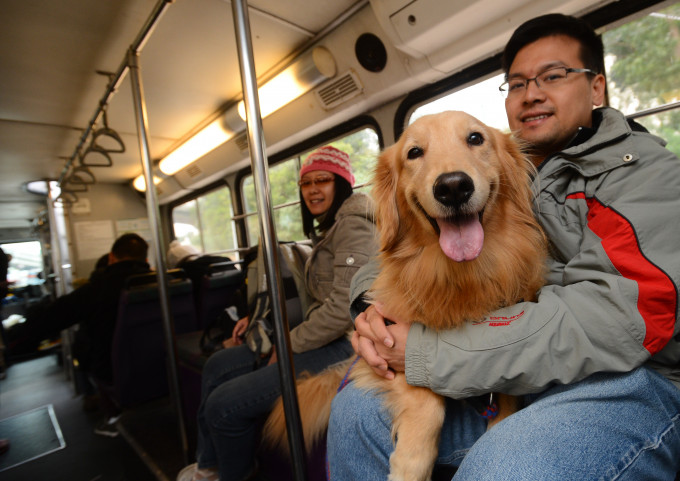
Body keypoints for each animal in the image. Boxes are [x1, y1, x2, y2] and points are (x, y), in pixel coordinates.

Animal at [262, 111, 544, 480]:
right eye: (414, 153)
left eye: (475, 138)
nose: (453, 186)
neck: (458, 277)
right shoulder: (390, 341)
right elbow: (426, 401)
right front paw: (410, 462)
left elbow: (506, 401)